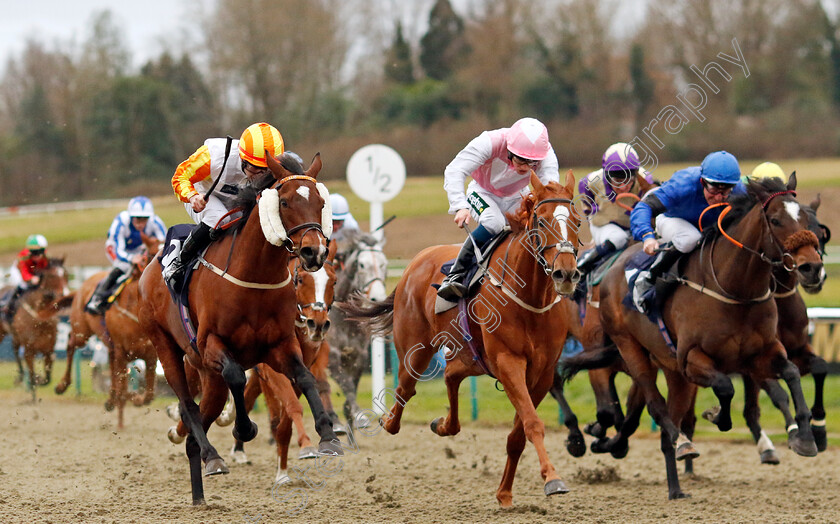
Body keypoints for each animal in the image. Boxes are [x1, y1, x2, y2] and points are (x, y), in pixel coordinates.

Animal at [139, 151, 342, 504]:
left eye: (320, 201)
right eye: (285, 202)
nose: (313, 251)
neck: (254, 276)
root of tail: (149, 268)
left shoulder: (280, 347)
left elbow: (305, 379)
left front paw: (328, 435)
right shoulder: (213, 344)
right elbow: (237, 375)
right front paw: (244, 429)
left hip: (209, 375)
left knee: (200, 420)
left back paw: (200, 486)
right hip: (167, 347)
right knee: (189, 404)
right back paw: (213, 454)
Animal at [344, 172, 580, 508]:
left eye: (577, 220)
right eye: (542, 220)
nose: (566, 274)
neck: (529, 298)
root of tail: (416, 261)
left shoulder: (542, 373)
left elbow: (518, 433)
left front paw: (505, 492)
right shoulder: (508, 362)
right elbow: (533, 423)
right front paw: (552, 479)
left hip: (471, 355)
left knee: (451, 375)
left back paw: (443, 424)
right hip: (416, 350)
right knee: (406, 389)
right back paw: (388, 422)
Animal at [560, 174, 824, 498]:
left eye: (808, 221)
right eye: (775, 220)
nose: (812, 268)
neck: (735, 289)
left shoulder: (761, 354)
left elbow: (791, 375)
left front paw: (806, 436)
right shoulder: (692, 359)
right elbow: (725, 387)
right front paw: (718, 416)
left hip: (672, 371)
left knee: (662, 425)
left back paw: (674, 487)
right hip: (631, 349)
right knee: (654, 404)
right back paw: (673, 444)